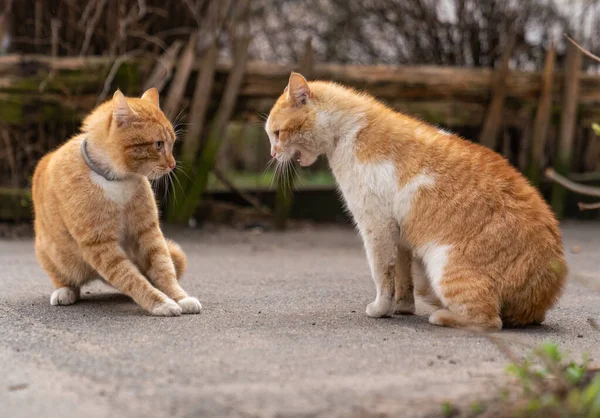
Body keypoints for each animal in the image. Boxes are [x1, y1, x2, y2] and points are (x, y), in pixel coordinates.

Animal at [32, 89, 202, 316]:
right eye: (158, 144)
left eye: (172, 143)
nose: (173, 164)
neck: (116, 179)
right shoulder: (100, 245)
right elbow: (130, 278)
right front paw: (161, 303)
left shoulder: (148, 231)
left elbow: (163, 269)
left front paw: (180, 298)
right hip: (50, 253)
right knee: (65, 278)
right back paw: (64, 292)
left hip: (176, 254)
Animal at [266, 73, 568, 332]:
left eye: (277, 134)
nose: (272, 153)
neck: (349, 131)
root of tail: (542, 293)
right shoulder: (399, 233)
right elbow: (401, 275)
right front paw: (401, 307)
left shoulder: (376, 225)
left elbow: (382, 273)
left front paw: (381, 309)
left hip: (443, 266)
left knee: (490, 320)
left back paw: (442, 316)